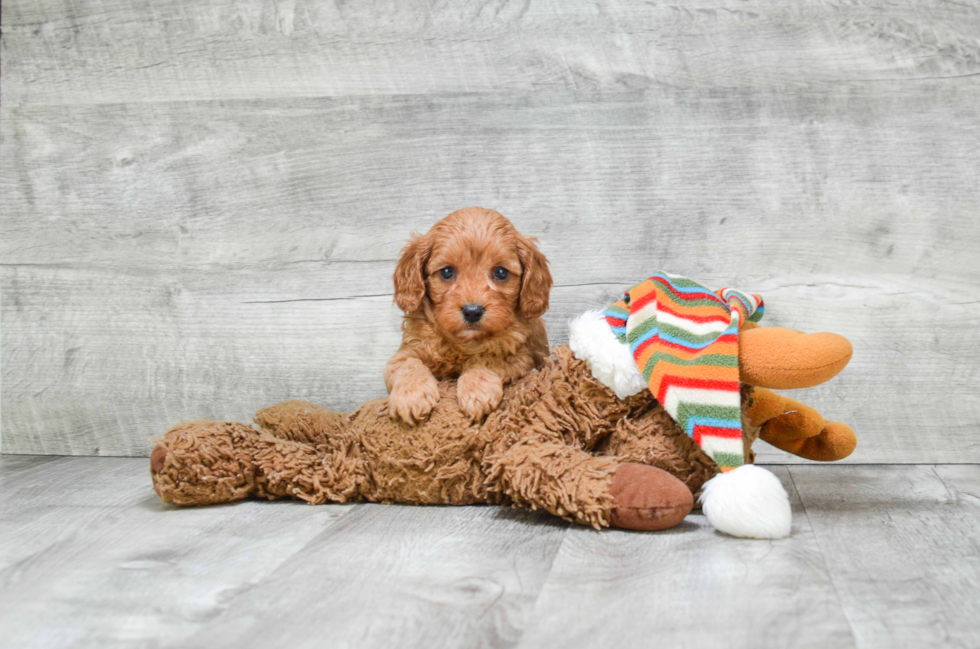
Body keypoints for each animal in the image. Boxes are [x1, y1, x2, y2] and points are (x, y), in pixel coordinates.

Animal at [384, 205, 552, 422]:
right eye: (447, 272)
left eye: (501, 272)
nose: (472, 312)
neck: (462, 342)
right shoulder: (403, 354)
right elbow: (409, 364)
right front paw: (411, 396)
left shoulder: (521, 357)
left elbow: (485, 358)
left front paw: (477, 391)